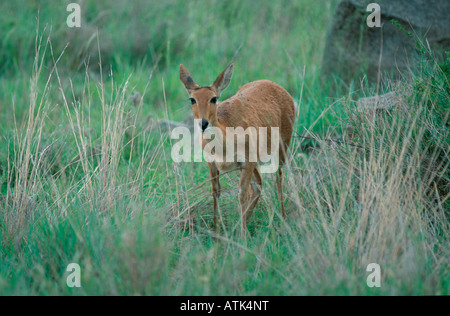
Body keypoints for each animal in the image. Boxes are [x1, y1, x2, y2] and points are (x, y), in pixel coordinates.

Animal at [179, 61, 296, 236]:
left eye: (213, 98)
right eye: (192, 99)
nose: (203, 123)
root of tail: (276, 86)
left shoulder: (247, 162)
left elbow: (242, 194)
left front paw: (241, 237)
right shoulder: (212, 164)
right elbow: (216, 192)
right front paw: (217, 233)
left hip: (281, 149)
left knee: (277, 178)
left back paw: (281, 220)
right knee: (258, 185)